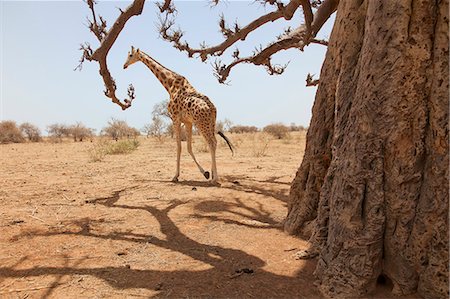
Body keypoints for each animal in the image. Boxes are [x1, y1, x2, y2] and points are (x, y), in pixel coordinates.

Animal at [125, 46, 234, 185]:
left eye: (130, 55)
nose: (124, 65)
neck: (170, 84)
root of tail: (212, 108)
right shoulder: (188, 122)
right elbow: (188, 147)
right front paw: (205, 173)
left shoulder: (175, 119)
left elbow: (178, 147)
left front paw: (175, 176)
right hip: (211, 123)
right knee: (213, 142)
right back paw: (213, 174)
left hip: (201, 124)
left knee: (211, 143)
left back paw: (215, 179)